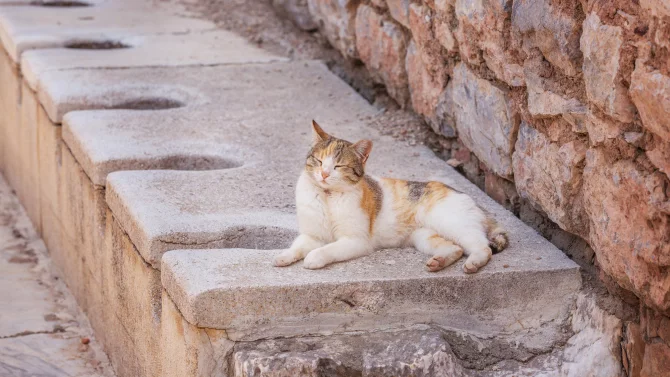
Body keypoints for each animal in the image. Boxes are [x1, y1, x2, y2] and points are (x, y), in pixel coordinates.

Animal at [272, 122, 510, 272]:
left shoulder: (356, 241)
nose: (323, 174)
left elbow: (327, 249)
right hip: (424, 237)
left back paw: (473, 263)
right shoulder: (311, 235)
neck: (327, 196)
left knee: (482, 246)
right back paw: (438, 262)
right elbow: (298, 246)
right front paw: (284, 255)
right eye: (319, 161)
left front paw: (314, 257)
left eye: (338, 166)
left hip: (454, 224)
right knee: (456, 248)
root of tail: (475, 203)